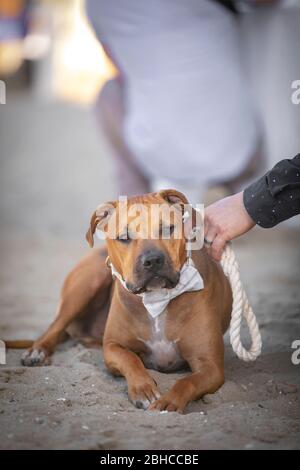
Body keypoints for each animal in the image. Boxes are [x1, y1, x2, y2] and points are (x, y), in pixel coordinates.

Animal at [20, 189, 232, 414]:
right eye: (124, 237)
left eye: (168, 229)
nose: (153, 260)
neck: (155, 299)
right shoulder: (113, 347)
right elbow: (130, 359)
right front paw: (143, 389)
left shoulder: (210, 366)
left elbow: (186, 382)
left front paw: (169, 402)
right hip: (88, 281)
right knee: (55, 325)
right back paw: (37, 351)